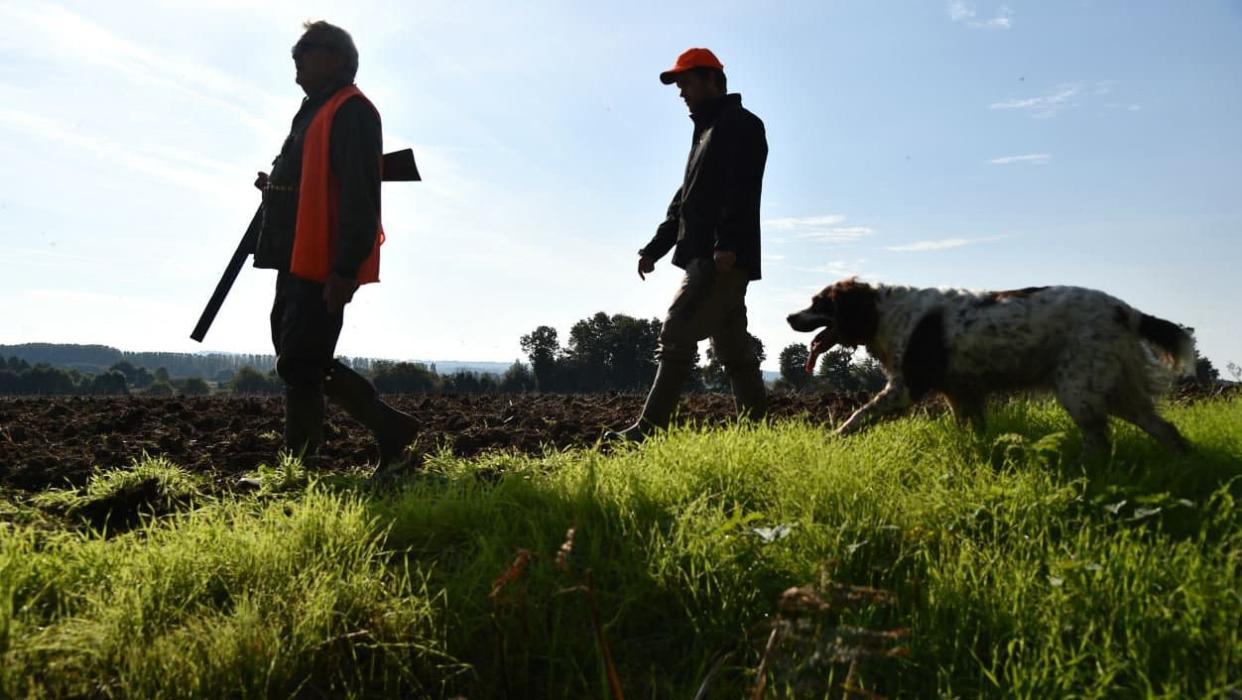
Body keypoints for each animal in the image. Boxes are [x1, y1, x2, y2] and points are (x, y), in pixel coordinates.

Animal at [789, 279, 1197, 454]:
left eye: (819, 302)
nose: (790, 317)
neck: (884, 312)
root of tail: (1126, 310)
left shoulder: (905, 387)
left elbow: (857, 415)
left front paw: (830, 438)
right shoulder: (961, 393)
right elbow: (972, 429)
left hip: (1080, 389)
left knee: (1098, 438)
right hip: (1115, 389)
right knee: (1165, 429)